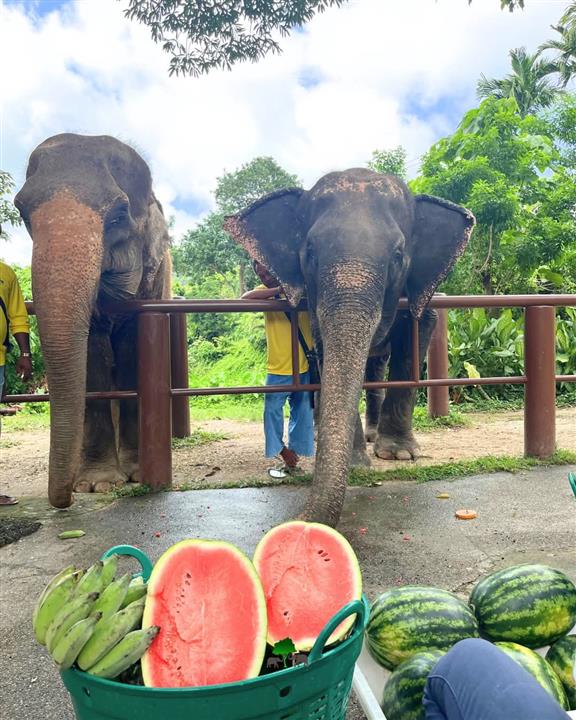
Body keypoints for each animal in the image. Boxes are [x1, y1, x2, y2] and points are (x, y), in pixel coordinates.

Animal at [15, 133, 171, 509]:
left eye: (118, 215)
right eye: (21, 212)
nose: (64, 499)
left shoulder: (153, 282)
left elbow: (131, 350)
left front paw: (135, 475)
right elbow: (93, 354)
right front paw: (97, 485)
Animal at [224, 168, 474, 527]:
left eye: (398, 255)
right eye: (310, 252)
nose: (299, 523)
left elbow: (418, 330)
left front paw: (398, 455)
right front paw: (358, 465)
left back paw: (374, 437)